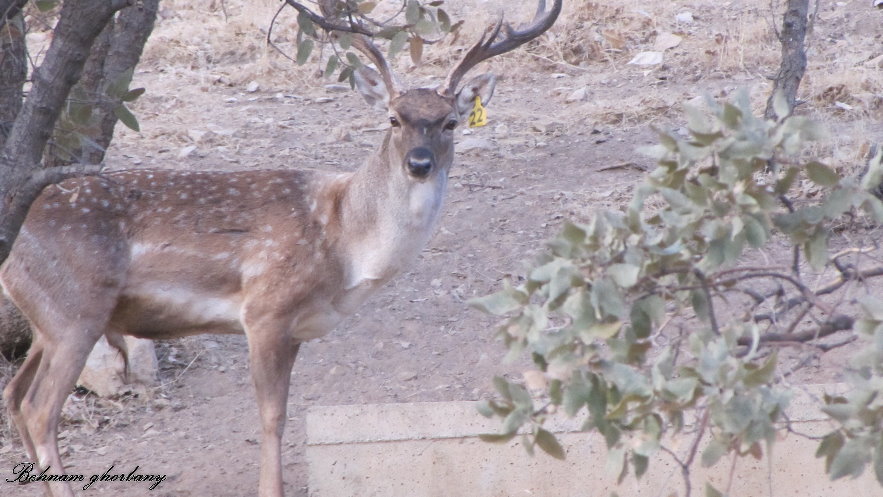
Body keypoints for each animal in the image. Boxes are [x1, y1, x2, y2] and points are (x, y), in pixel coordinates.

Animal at [0, 1, 561, 496]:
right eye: (393, 118)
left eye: (449, 121)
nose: (419, 163)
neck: (344, 242)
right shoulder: (266, 309)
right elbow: (271, 416)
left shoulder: (294, 328)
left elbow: (285, 411)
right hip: (77, 307)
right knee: (40, 409)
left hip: (49, 318)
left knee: (16, 394)